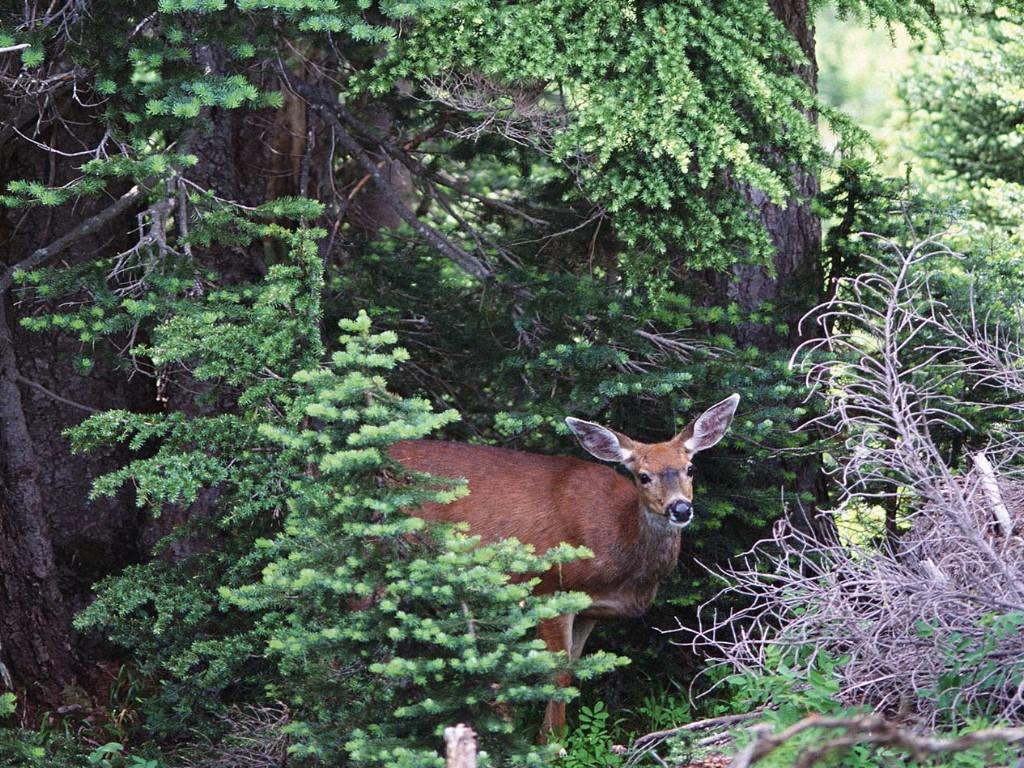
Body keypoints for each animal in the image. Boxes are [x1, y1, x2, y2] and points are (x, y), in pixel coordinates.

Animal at [387, 393, 741, 737]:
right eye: (643, 476)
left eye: (690, 468)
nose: (680, 509)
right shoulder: (551, 589)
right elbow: (556, 673)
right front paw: (551, 742)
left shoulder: (590, 609)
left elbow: (573, 668)